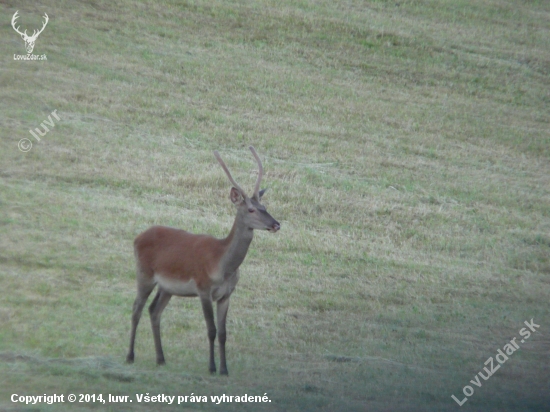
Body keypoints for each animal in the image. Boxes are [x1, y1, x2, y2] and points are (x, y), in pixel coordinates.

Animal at [128, 146, 282, 374]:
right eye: (251, 209)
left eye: (265, 207)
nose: (276, 224)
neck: (222, 266)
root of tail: (138, 237)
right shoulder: (203, 288)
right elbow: (211, 329)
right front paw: (211, 367)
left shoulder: (226, 295)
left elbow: (224, 333)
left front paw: (224, 370)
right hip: (144, 273)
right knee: (136, 308)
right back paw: (130, 356)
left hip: (167, 287)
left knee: (154, 311)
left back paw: (161, 359)